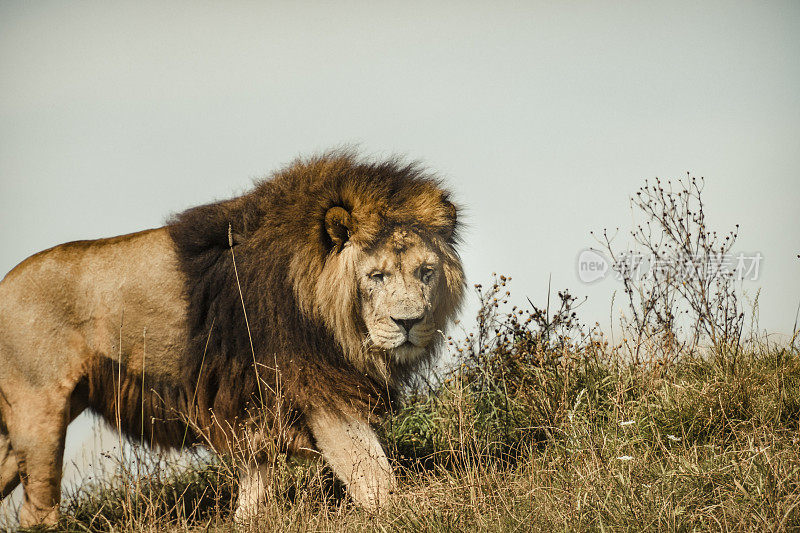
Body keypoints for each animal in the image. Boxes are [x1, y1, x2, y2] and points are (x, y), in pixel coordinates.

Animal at [0, 152, 466, 524]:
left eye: (425, 272)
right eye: (377, 276)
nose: (409, 322)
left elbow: (260, 481)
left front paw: (246, 518)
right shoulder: (318, 389)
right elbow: (370, 472)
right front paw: (403, 514)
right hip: (39, 410)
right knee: (36, 511)